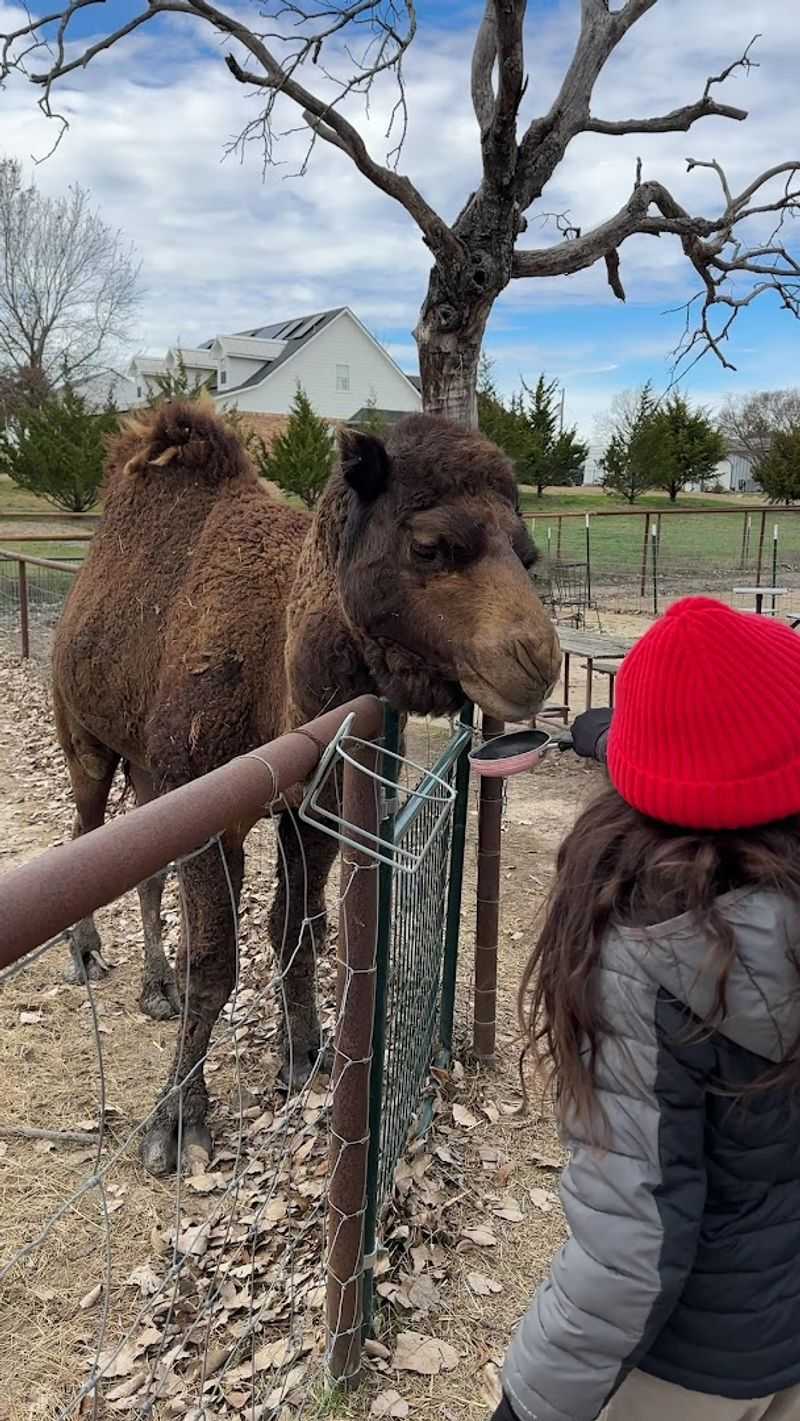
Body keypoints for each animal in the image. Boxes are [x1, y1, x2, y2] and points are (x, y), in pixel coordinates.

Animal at [52, 399, 560, 1176]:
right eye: (430, 545)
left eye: (527, 554)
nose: (536, 658)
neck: (280, 678)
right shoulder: (208, 805)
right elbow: (214, 964)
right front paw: (177, 1123)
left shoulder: (309, 807)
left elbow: (292, 928)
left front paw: (306, 1054)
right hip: (87, 734)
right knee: (86, 830)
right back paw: (87, 955)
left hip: (148, 770)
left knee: (145, 866)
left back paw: (154, 985)